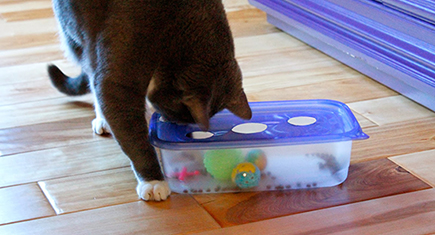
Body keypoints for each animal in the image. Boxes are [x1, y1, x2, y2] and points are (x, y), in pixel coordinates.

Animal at [47, 0, 252, 202]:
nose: (173, 124)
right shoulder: (119, 77)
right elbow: (132, 136)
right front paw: (153, 181)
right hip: (77, 31)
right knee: (89, 71)